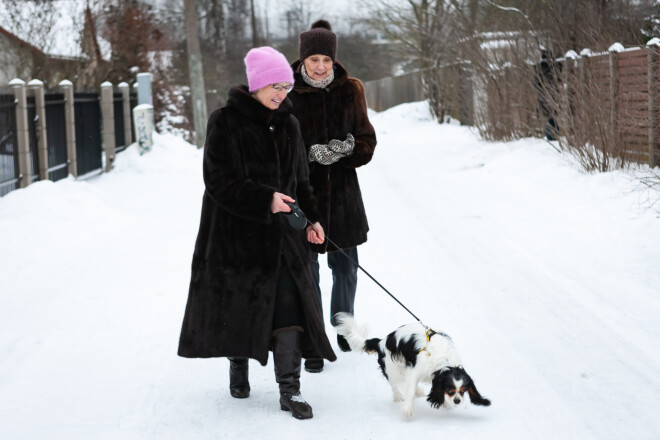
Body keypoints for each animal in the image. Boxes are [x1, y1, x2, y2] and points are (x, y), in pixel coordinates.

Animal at [336, 312, 490, 416]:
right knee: (395, 383)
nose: (457, 401)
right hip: (392, 367)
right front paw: (408, 409)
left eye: (463, 391)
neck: (444, 361)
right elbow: (410, 390)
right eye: (449, 389)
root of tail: (381, 341)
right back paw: (399, 396)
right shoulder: (417, 370)